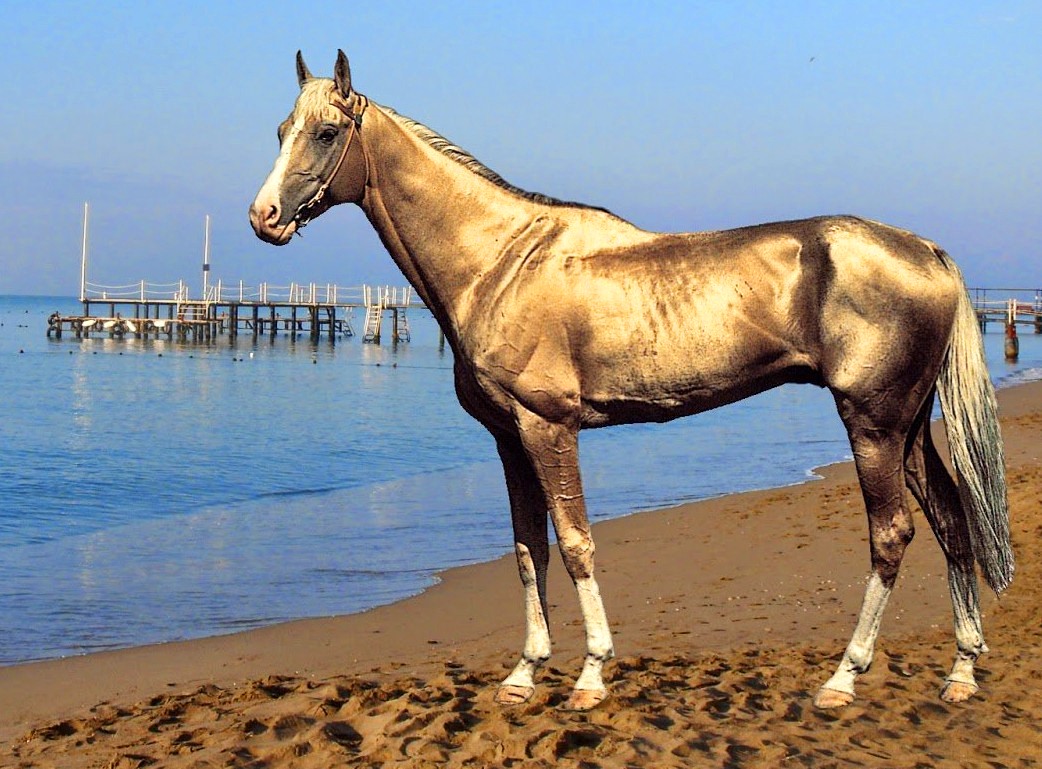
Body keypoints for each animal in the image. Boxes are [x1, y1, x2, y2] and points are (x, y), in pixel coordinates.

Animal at [250, 51, 1008, 708]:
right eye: (281, 131)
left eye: (325, 132)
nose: (264, 217)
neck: (500, 261)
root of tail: (925, 251)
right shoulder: (509, 439)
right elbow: (528, 548)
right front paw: (524, 673)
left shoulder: (549, 427)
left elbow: (575, 541)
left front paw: (590, 674)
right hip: (908, 428)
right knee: (951, 518)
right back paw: (962, 671)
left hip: (873, 423)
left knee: (893, 534)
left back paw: (844, 678)